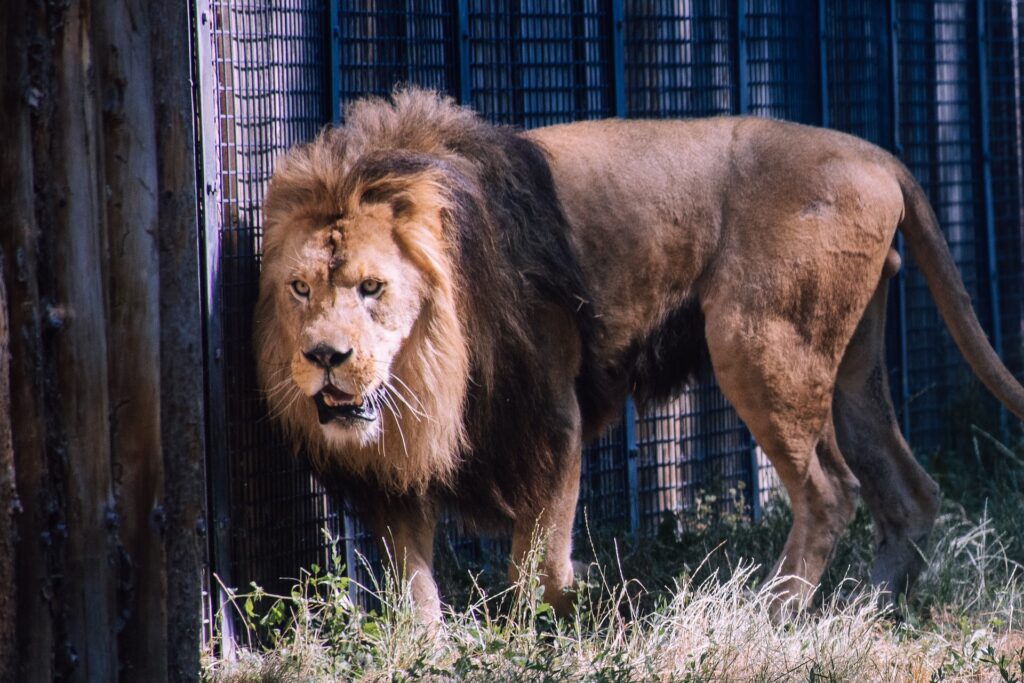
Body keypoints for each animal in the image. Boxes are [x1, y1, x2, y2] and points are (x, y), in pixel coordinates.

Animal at [255, 88, 1024, 621]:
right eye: (299, 287)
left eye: (372, 287)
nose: (325, 355)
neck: (428, 366)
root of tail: (878, 155)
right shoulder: (397, 459)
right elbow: (410, 573)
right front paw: (429, 646)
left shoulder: (551, 410)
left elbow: (538, 556)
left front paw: (549, 626)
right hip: (852, 367)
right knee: (910, 488)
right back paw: (868, 604)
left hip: (760, 343)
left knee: (830, 489)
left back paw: (776, 612)